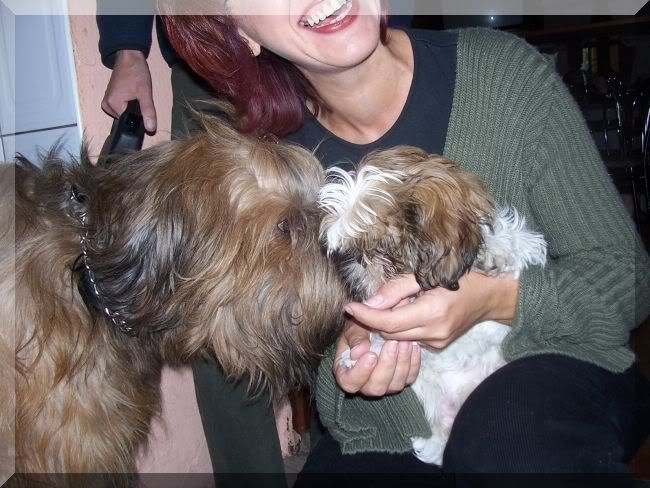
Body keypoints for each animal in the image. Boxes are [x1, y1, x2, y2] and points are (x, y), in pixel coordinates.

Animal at [319, 146, 547, 465]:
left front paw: (496, 251)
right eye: (350, 251)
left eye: (382, 249)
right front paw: (361, 354)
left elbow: (515, 243)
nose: (357, 262)